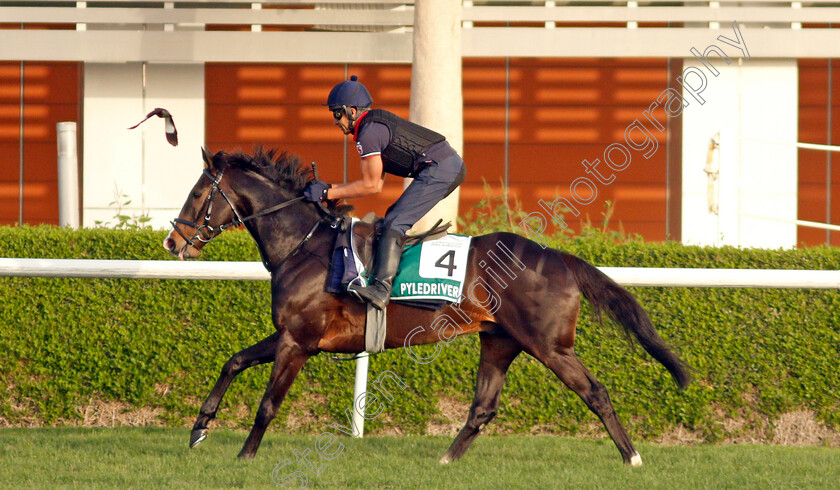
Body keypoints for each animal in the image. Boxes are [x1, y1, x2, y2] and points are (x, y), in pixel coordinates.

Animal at [162, 147, 688, 466]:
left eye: (197, 194)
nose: (172, 241)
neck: (305, 245)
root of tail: (557, 256)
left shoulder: (300, 341)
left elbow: (268, 403)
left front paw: (245, 457)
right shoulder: (290, 333)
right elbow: (233, 361)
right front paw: (199, 428)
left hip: (550, 346)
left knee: (595, 392)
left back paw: (632, 457)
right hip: (500, 341)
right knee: (483, 407)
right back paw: (446, 460)